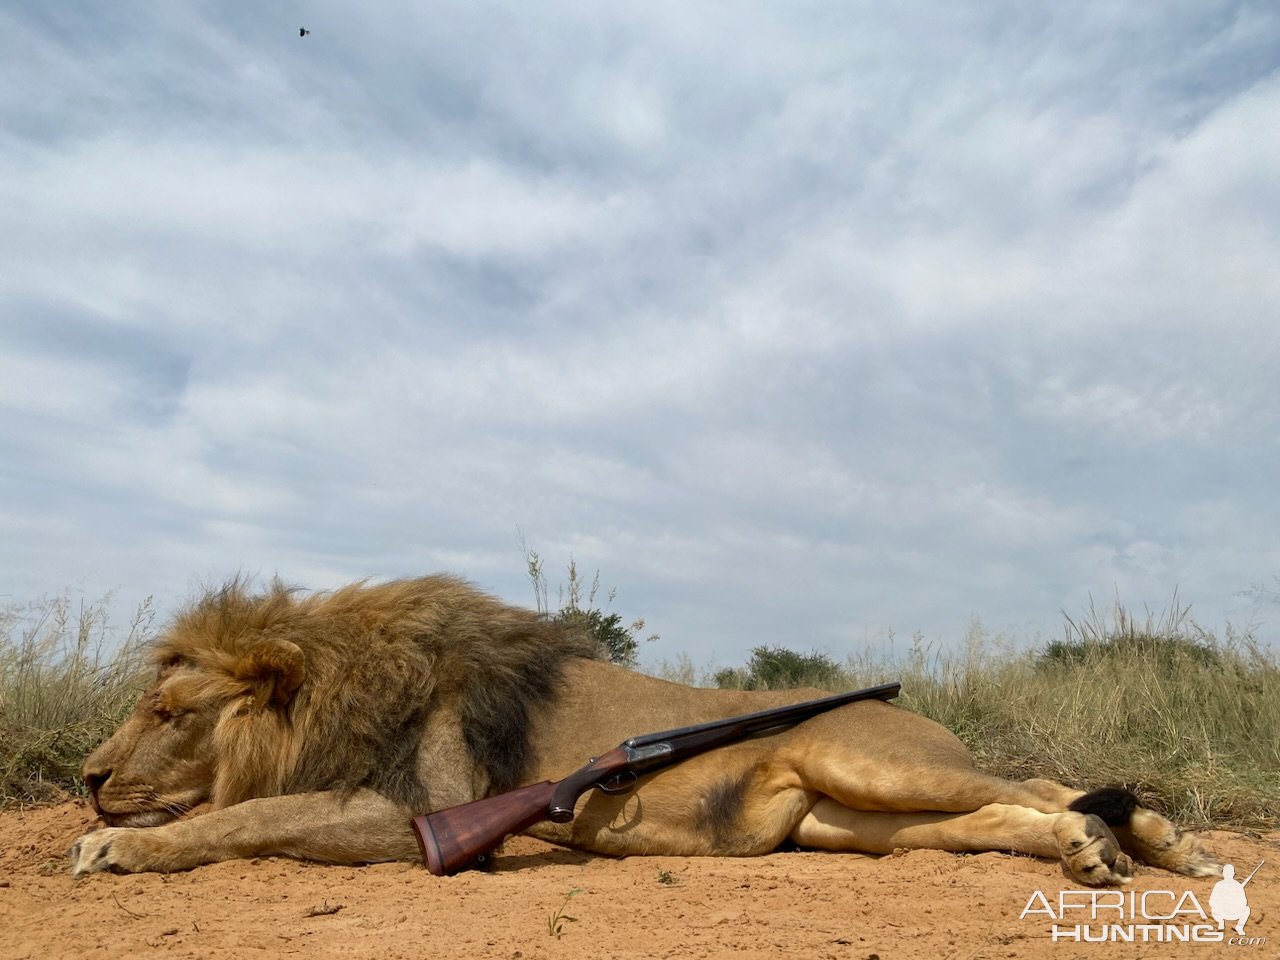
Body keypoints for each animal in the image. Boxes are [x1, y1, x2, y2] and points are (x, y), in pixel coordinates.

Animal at [70, 570, 1218, 885]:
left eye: (167, 712)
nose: (85, 778)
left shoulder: (423, 816)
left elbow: (245, 818)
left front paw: (113, 847)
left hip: (863, 757)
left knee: (1036, 784)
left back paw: (1153, 844)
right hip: (842, 822)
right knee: (1008, 812)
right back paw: (1096, 850)